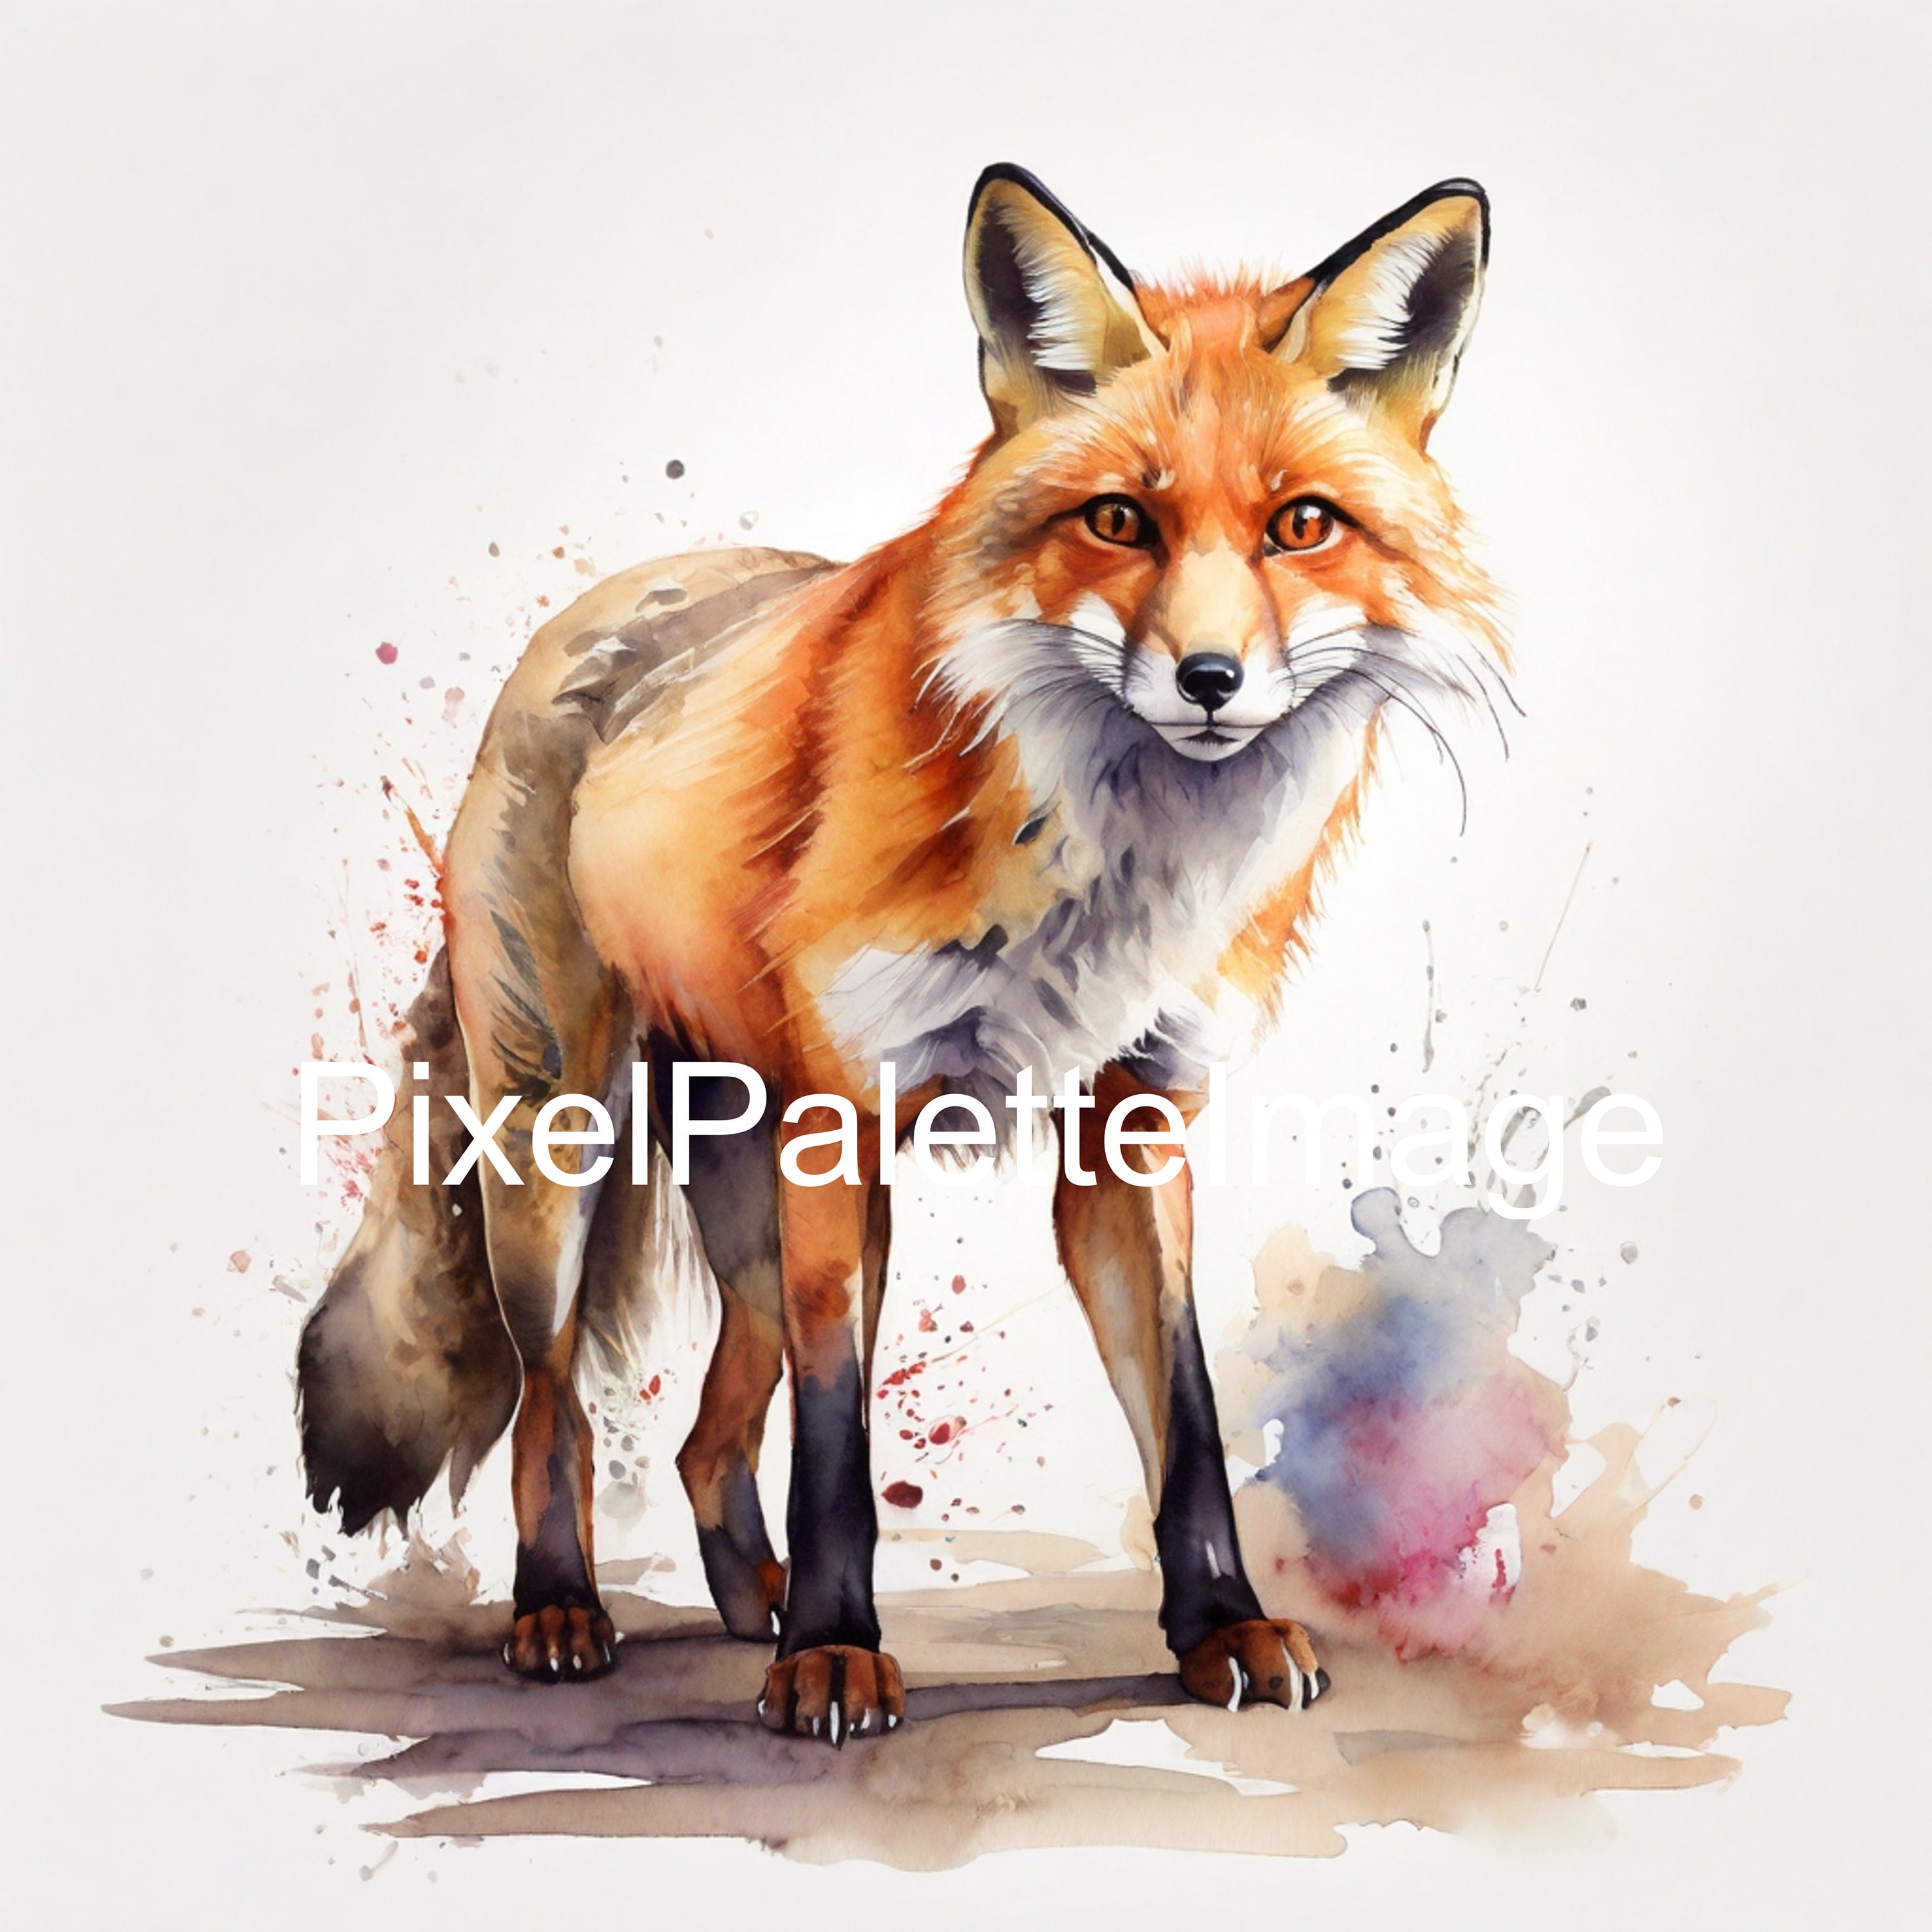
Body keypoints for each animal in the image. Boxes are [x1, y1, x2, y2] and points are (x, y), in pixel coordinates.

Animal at [298, 165, 1505, 1744]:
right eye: (1119, 519)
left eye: (1303, 524)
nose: (1211, 682)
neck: (1113, 870)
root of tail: (603, 610)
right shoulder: (849, 1125)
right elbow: (836, 1443)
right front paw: (834, 1654)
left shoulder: (1131, 1124)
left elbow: (1186, 1423)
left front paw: (1219, 1627)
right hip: (568, 1160)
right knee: (551, 1403)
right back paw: (563, 1610)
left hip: (760, 1205)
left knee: (703, 1437)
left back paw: (745, 1601)